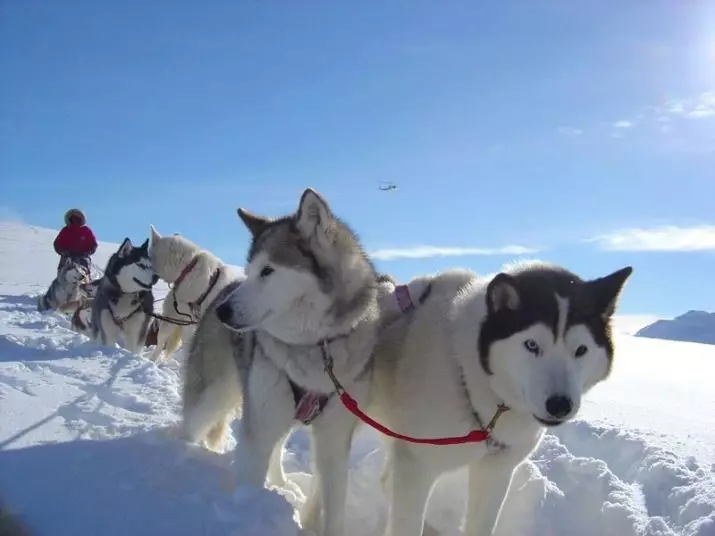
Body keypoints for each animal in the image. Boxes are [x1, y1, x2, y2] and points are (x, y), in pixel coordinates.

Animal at [182, 188, 384, 536]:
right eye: (250, 270)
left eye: (268, 270)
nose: (223, 312)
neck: (315, 348)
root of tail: (221, 290)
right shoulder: (260, 426)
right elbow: (251, 475)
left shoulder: (334, 439)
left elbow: (334, 506)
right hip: (217, 396)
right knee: (193, 423)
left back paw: (280, 484)